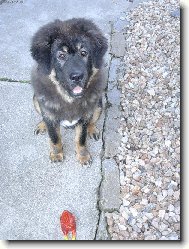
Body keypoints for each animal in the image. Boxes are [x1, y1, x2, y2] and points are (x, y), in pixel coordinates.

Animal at [30, 18, 108, 165]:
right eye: (61, 55)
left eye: (83, 53)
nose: (77, 77)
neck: (69, 99)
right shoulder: (49, 113)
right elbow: (54, 137)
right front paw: (56, 154)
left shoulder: (84, 116)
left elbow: (81, 138)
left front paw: (83, 156)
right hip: (36, 100)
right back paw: (42, 125)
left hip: (99, 104)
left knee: (93, 120)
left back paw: (92, 129)